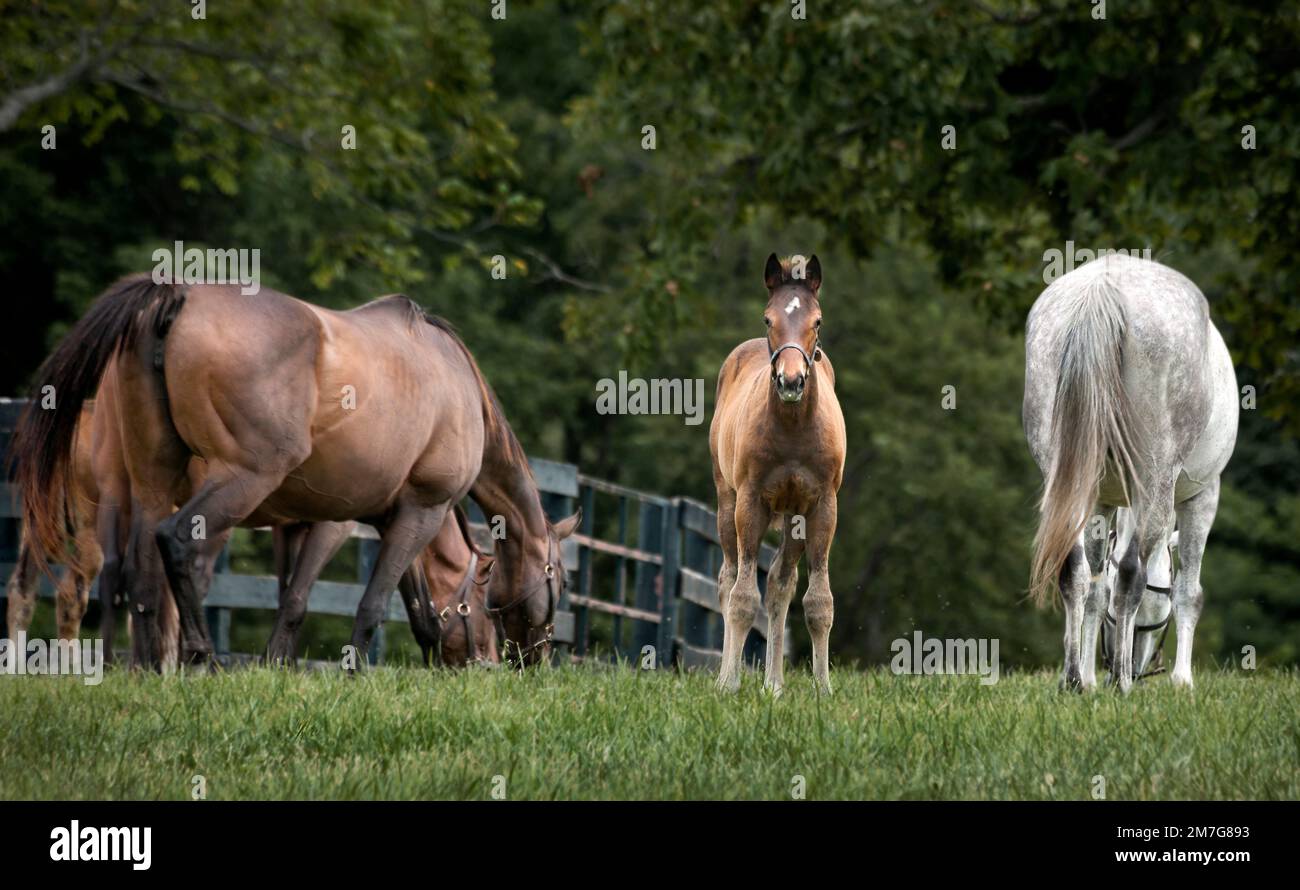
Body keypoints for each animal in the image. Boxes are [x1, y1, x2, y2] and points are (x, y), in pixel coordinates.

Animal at [13, 275, 579, 669]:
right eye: (562, 580)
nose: (521, 661)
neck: (456, 384)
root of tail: (178, 296)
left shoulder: (390, 516)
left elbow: (409, 611)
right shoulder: (404, 512)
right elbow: (358, 604)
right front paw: (345, 673)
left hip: (149, 485)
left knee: (137, 573)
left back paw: (148, 669)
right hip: (238, 482)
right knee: (173, 543)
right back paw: (201, 658)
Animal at [709, 253, 846, 694]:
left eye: (817, 321)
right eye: (768, 318)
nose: (791, 381)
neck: (793, 428)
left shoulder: (822, 506)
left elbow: (817, 602)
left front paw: (823, 688)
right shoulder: (750, 502)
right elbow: (741, 597)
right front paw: (729, 683)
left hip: (791, 516)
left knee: (779, 586)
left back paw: (774, 684)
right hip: (727, 502)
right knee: (727, 579)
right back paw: (727, 673)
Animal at [1024, 254, 1238, 693]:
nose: (1144, 667)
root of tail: (1102, 287)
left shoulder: (1101, 501)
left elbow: (1095, 588)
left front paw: (1087, 678)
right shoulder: (1202, 496)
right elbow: (1189, 592)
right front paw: (1182, 681)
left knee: (1074, 570)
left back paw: (1074, 679)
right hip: (1156, 482)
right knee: (1129, 574)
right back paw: (1121, 682)